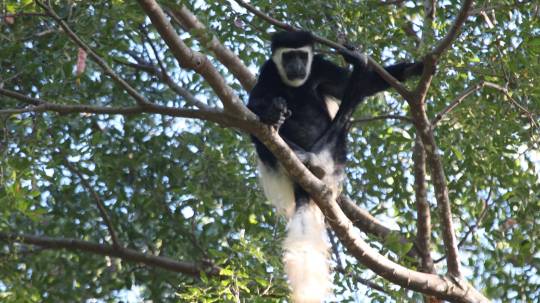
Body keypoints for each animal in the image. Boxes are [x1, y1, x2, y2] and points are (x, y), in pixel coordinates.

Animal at [249, 31, 422, 303]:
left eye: (301, 56)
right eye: (288, 56)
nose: (296, 67)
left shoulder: (320, 67)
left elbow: (363, 85)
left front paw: (415, 67)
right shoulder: (268, 72)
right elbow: (253, 104)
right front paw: (271, 111)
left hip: (334, 152)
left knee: (349, 106)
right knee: (259, 136)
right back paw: (291, 143)